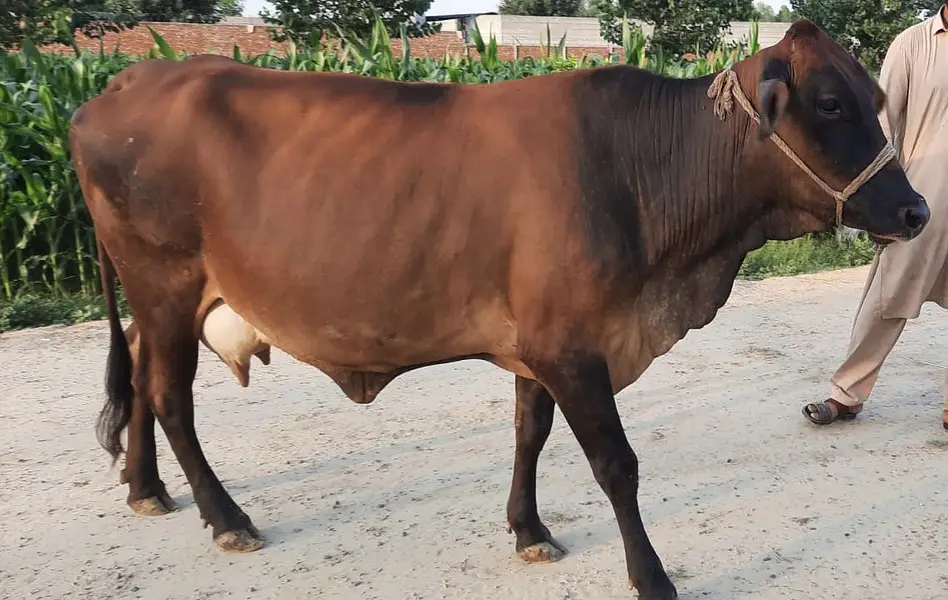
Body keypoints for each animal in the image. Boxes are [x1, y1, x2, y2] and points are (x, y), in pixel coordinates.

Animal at [69, 19, 928, 600]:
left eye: (878, 97)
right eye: (830, 103)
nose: (917, 210)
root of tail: (116, 87)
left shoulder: (539, 345)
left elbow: (529, 434)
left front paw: (530, 529)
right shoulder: (573, 348)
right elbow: (616, 465)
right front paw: (650, 576)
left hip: (160, 298)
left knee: (139, 378)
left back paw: (146, 488)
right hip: (165, 281)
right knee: (170, 395)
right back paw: (226, 517)